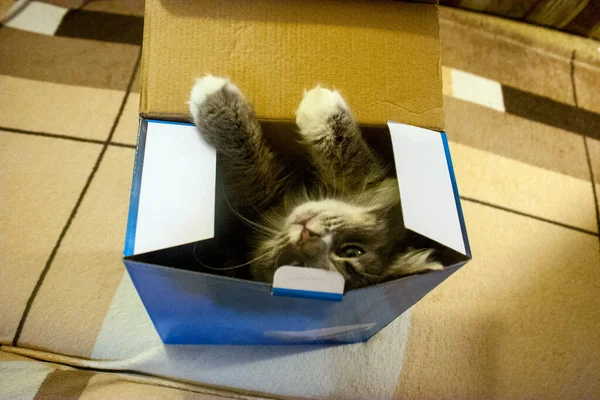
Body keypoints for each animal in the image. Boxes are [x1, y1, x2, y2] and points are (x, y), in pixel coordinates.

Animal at [189, 75, 440, 290]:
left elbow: (253, 173)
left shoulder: (256, 200)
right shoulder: (376, 181)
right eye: (352, 252)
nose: (307, 235)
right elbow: (353, 163)